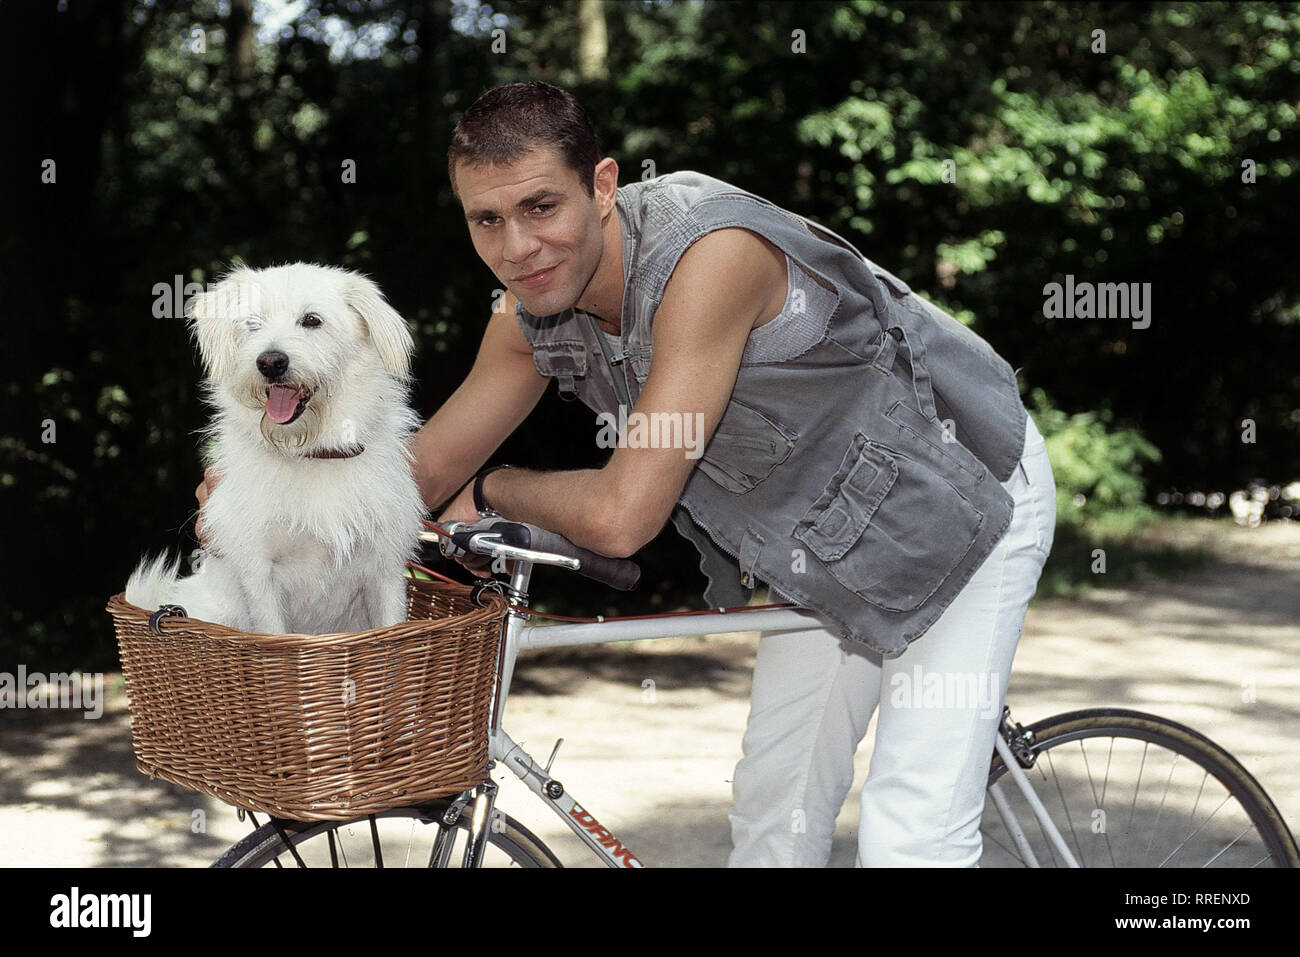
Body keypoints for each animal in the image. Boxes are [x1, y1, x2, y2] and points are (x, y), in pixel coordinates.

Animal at [124, 261, 423, 634]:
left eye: (312, 320)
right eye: (253, 323)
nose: (270, 362)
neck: (311, 454)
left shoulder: (386, 569)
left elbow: (392, 625)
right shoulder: (259, 574)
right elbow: (272, 630)